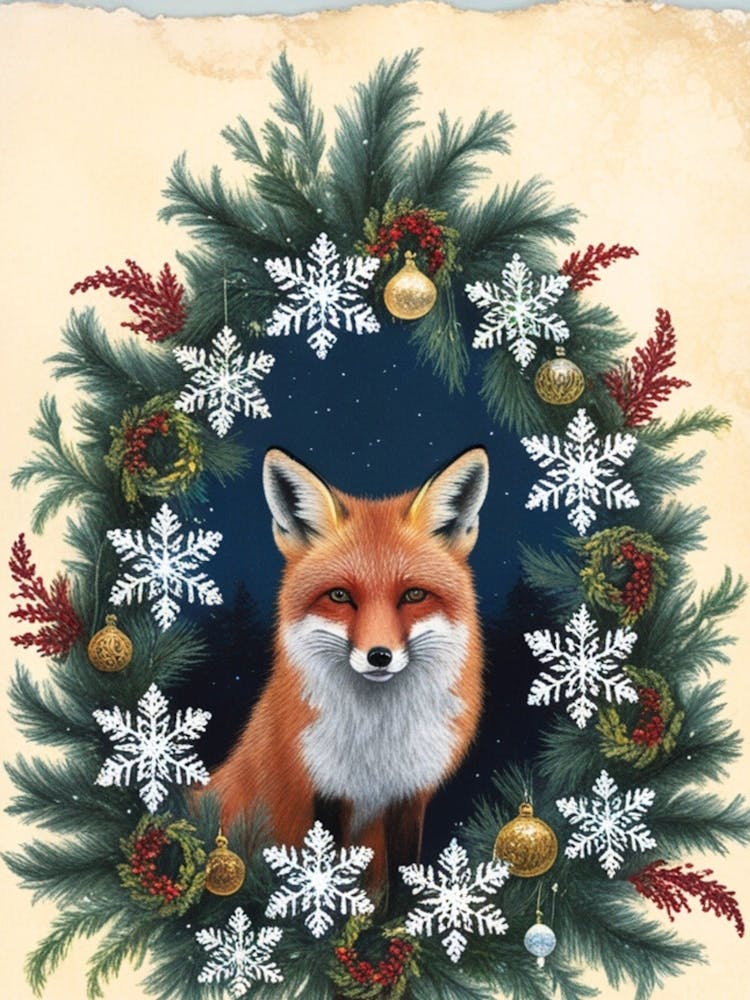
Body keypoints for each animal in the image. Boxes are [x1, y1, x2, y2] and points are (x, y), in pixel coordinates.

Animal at [208, 444, 490, 886]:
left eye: (413, 595)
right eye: (340, 596)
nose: (379, 655)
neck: (376, 747)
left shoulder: (408, 798)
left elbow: (402, 884)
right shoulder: (323, 792)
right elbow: (326, 878)